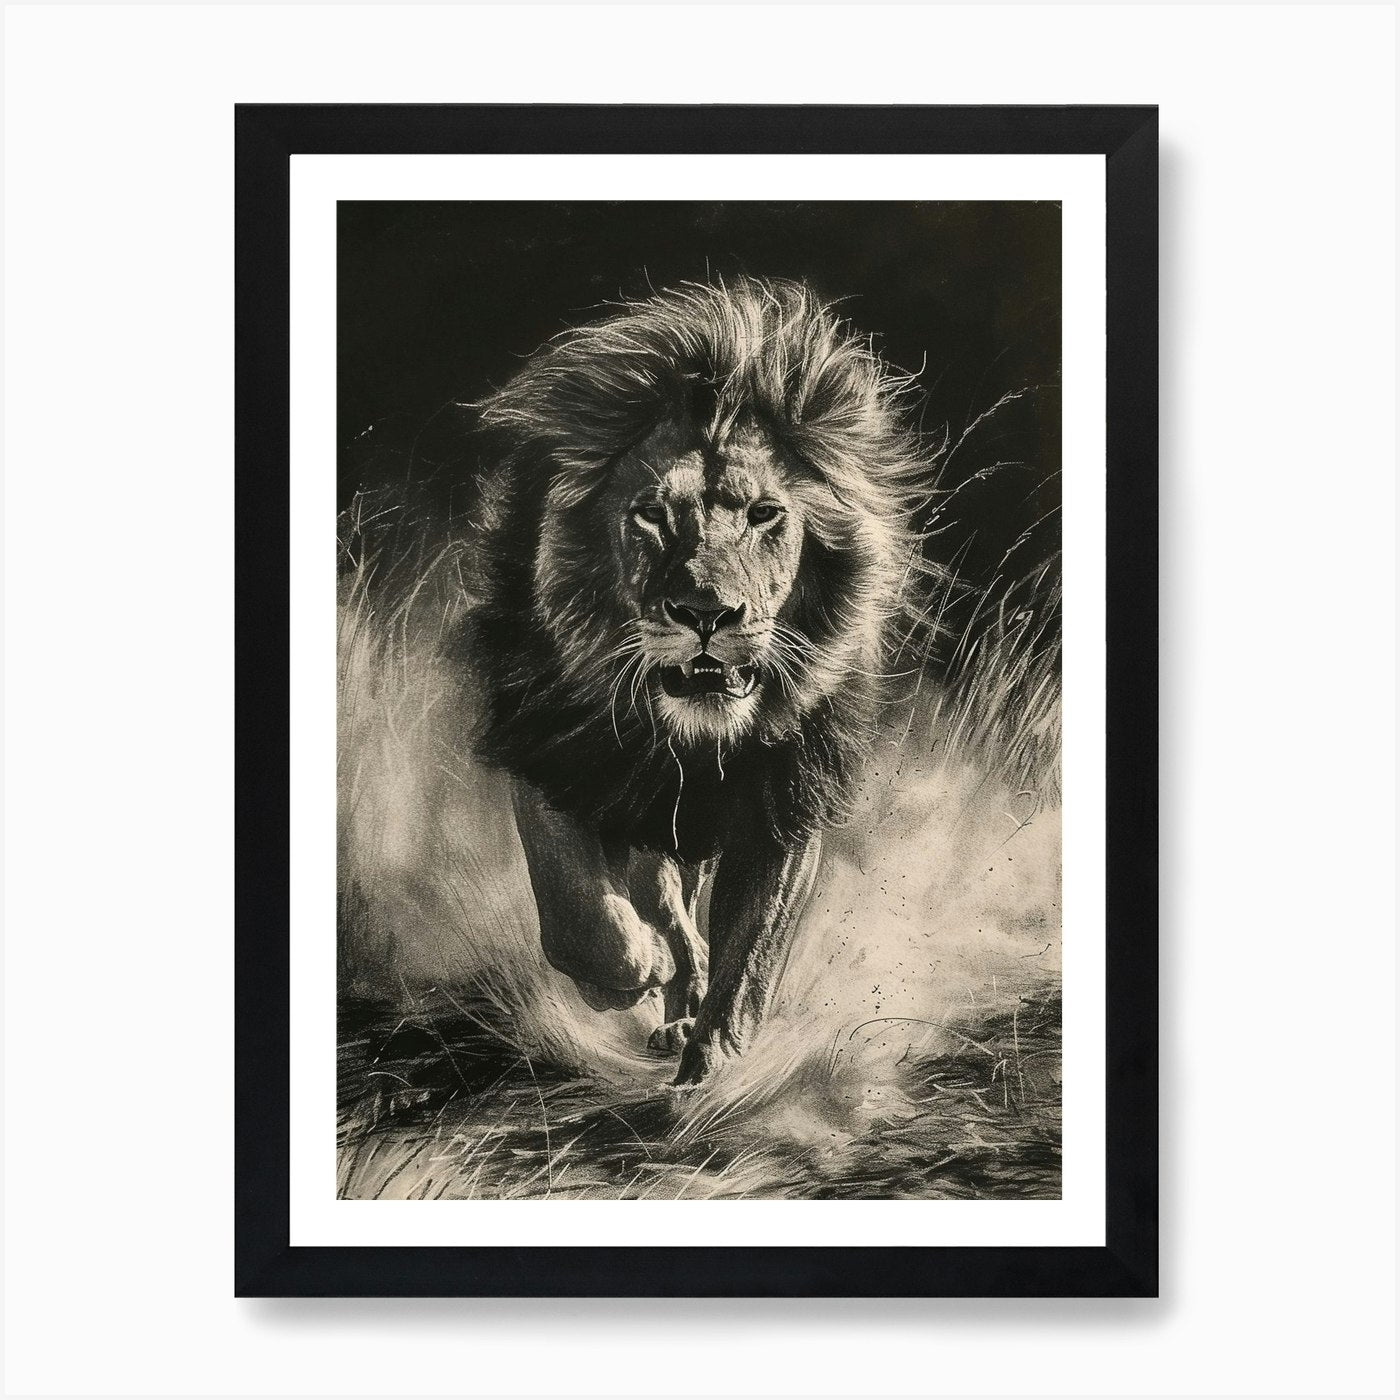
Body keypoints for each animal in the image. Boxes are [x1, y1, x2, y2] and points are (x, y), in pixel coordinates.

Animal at [462, 277, 932, 1085]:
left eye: (765, 515)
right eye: (650, 514)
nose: (708, 613)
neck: (685, 740)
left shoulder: (783, 803)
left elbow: (753, 952)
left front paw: (719, 1061)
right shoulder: (552, 759)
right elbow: (583, 919)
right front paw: (634, 974)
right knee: (654, 902)